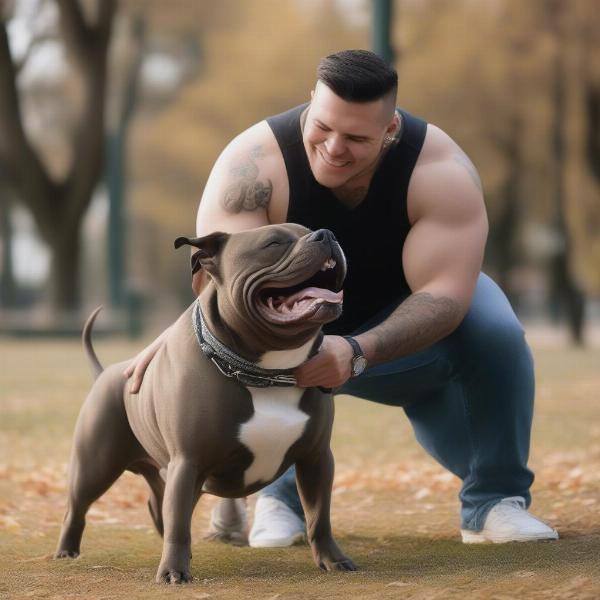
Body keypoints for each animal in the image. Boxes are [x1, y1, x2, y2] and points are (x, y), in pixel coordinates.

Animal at [54, 224, 356, 580]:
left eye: (311, 230)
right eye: (273, 243)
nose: (327, 235)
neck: (266, 373)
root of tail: (105, 373)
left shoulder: (316, 459)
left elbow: (319, 517)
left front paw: (333, 559)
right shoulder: (189, 462)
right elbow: (179, 524)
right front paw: (173, 571)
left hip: (165, 472)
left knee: (161, 506)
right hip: (95, 466)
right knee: (79, 508)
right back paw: (67, 551)